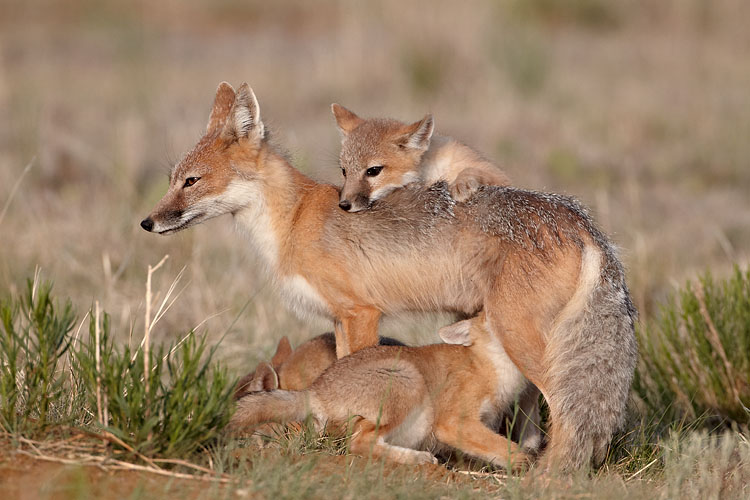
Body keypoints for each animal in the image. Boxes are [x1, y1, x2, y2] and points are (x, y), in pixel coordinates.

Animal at [230, 317, 539, 469]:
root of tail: (315, 389)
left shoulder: (480, 425)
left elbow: (495, 449)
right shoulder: (453, 422)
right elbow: (516, 452)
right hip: (408, 380)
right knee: (360, 443)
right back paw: (418, 460)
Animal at [331, 104, 511, 213]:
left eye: (373, 171)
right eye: (344, 171)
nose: (343, 205)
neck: (432, 172)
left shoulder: (499, 175)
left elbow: (473, 169)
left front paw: (462, 183)